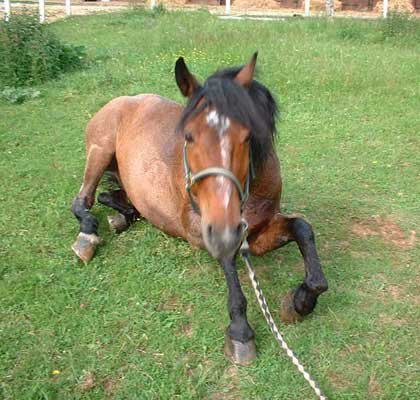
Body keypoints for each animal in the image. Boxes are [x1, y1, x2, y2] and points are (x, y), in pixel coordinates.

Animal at [71, 53, 328, 366]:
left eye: (247, 136)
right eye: (189, 136)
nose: (224, 224)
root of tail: (122, 100)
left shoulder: (257, 233)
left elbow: (302, 228)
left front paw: (301, 300)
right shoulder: (201, 230)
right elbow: (229, 260)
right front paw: (240, 331)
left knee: (114, 198)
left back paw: (121, 217)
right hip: (100, 150)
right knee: (83, 200)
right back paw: (87, 236)